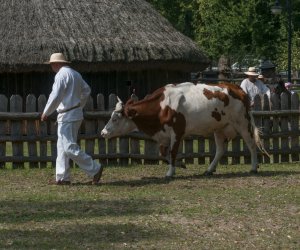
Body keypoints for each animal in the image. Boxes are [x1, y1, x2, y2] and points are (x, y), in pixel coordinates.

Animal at [101, 82, 268, 178]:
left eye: (115, 119)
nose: (103, 133)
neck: (163, 106)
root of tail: (238, 89)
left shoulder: (177, 132)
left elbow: (172, 152)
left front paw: (170, 172)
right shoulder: (164, 134)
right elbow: (164, 153)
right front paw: (180, 164)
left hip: (242, 123)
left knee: (251, 145)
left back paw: (254, 167)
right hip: (219, 128)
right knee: (220, 150)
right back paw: (209, 169)